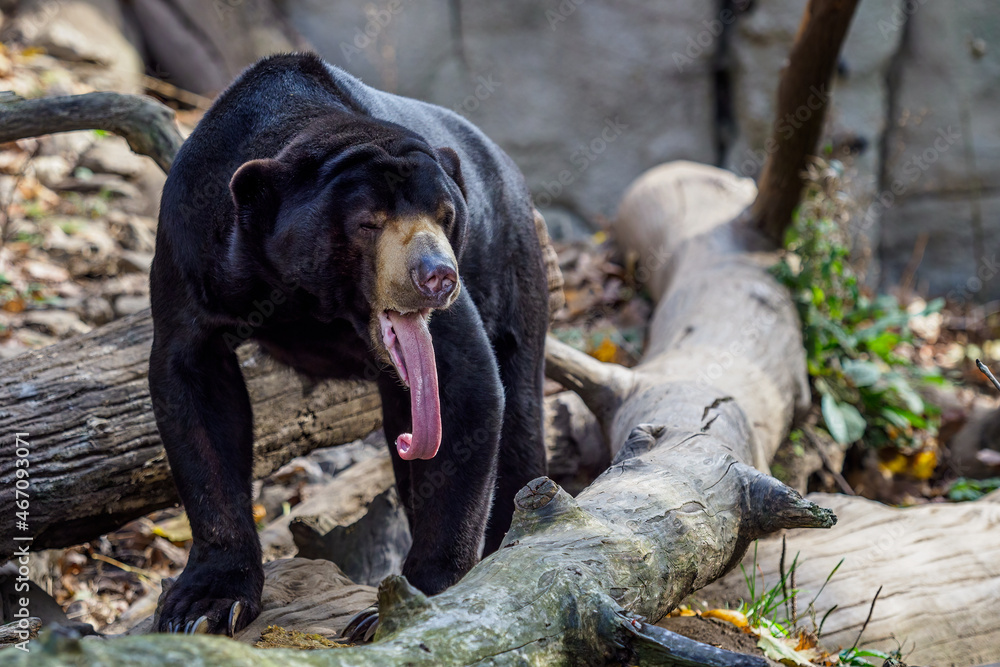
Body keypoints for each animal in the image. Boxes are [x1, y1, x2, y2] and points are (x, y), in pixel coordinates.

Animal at [148, 53, 549, 635]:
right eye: (367, 223)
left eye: (446, 216)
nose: (438, 276)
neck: (313, 299)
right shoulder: (191, 248)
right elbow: (194, 389)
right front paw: (202, 605)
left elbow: (465, 385)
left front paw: (403, 605)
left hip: (512, 269)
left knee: (519, 417)